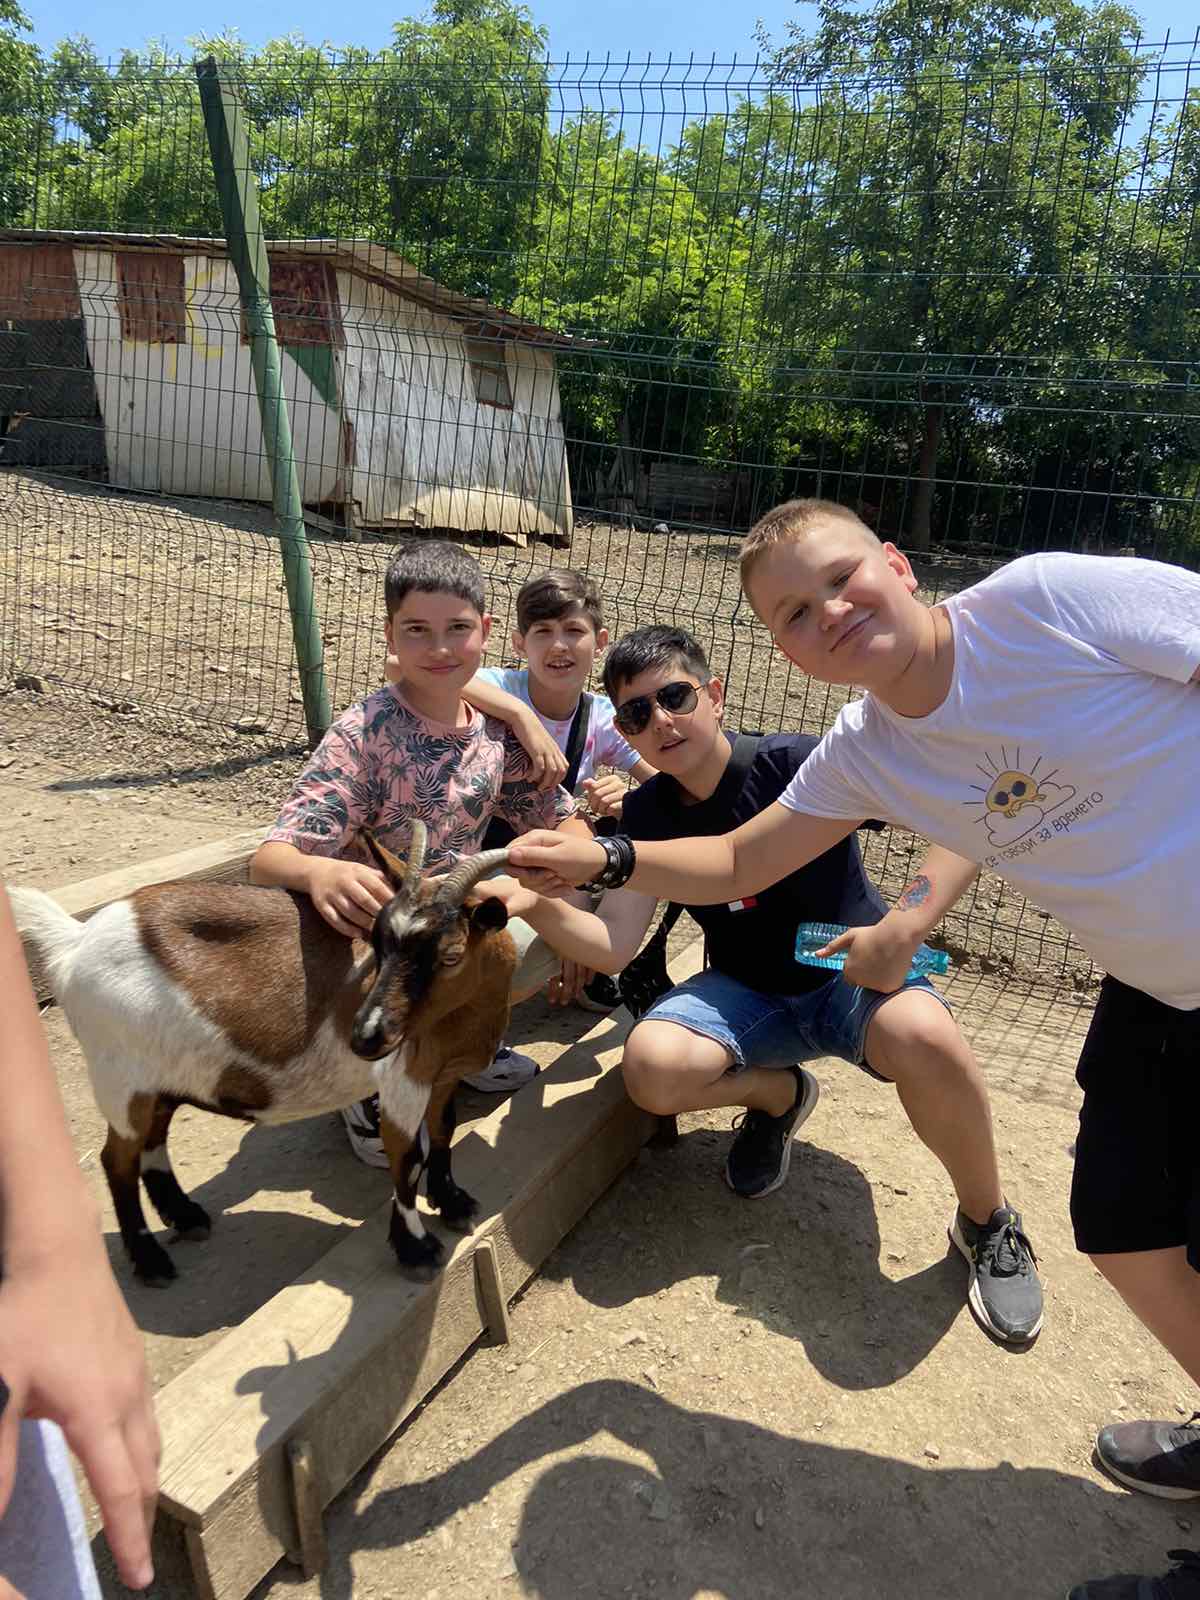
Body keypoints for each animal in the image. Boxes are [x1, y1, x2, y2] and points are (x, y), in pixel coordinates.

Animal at [12, 823, 517, 1284]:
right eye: (376, 942)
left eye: (451, 956)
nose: (365, 1037)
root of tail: (74, 942)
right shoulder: (402, 1079)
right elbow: (408, 1158)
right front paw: (416, 1249)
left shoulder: (441, 1072)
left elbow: (445, 1130)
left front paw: (454, 1202)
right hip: (119, 1077)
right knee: (116, 1161)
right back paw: (151, 1261)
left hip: (159, 1076)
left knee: (153, 1138)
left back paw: (187, 1216)